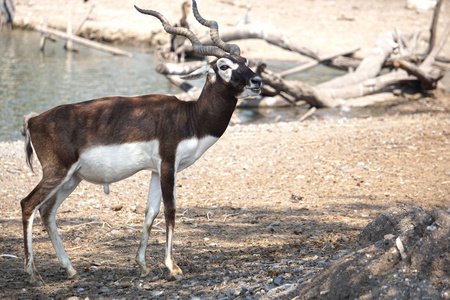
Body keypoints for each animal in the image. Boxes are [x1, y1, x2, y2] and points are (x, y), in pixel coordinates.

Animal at [20, 0, 260, 286]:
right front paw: (172, 267)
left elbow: (150, 213)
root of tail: (34, 120)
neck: (189, 117)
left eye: (244, 61)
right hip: (57, 172)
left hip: (72, 178)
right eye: (223, 66)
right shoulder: (168, 164)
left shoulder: (156, 170)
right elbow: (170, 210)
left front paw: (143, 265)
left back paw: (70, 269)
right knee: (28, 204)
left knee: (47, 211)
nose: (257, 81)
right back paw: (33, 274)